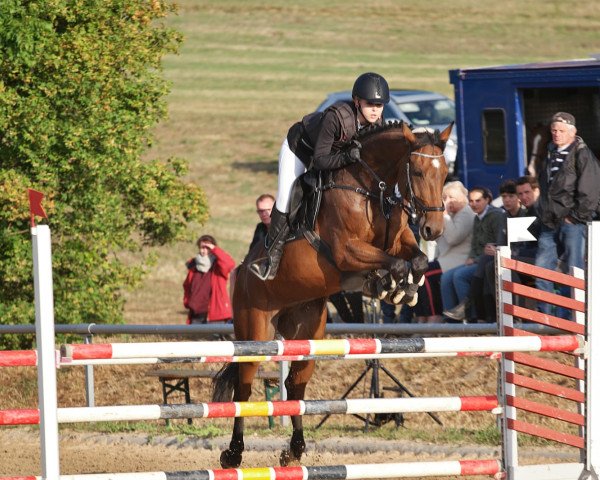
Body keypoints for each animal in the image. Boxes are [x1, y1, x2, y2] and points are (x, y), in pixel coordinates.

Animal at [213, 121, 452, 468]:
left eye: (445, 172)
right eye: (418, 172)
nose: (434, 229)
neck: (373, 186)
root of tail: (242, 270)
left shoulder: (399, 241)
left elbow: (416, 259)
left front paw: (400, 290)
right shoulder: (347, 252)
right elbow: (394, 262)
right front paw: (387, 285)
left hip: (308, 329)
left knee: (295, 386)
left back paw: (294, 450)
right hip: (254, 331)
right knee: (243, 390)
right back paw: (233, 453)